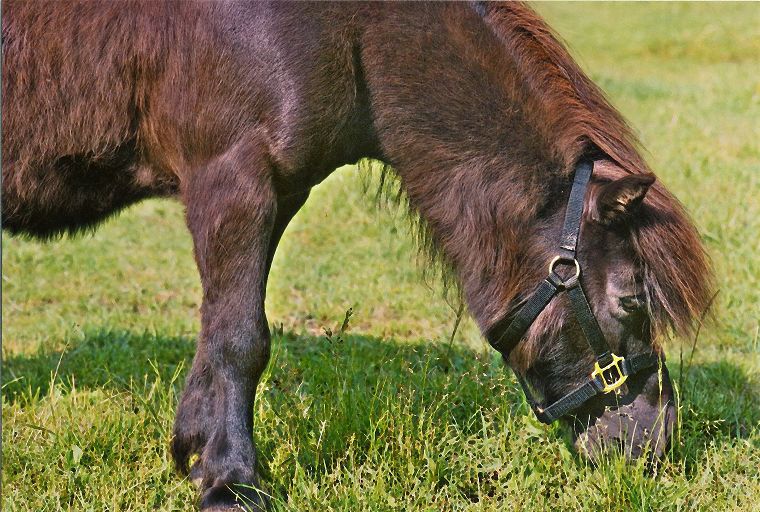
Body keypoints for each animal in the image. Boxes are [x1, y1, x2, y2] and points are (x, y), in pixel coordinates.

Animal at [1, 2, 712, 510]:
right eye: (632, 299)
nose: (656, 443)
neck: (347, 27)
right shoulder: (232, 182)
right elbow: (240, 339)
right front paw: (231, 483)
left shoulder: (277, 192)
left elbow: (225, 334)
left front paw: (195, 452)